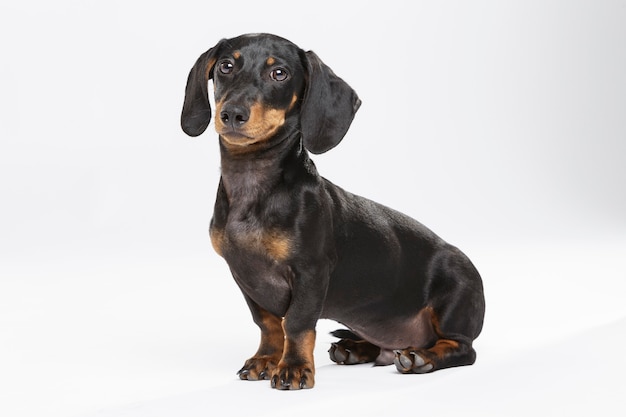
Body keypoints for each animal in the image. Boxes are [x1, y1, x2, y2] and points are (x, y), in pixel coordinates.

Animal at [179, 34, 482, 388]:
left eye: (279, 73)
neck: (253, 180)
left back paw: (422, 357)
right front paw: (266, 359)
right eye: (226, 66)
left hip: (454, 296)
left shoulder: (311, 272)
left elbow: (296, 323)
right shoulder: (244, 276)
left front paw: (293, 367)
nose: (232, 114)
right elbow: (268, 324)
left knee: (462, 347)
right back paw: (355, 348)